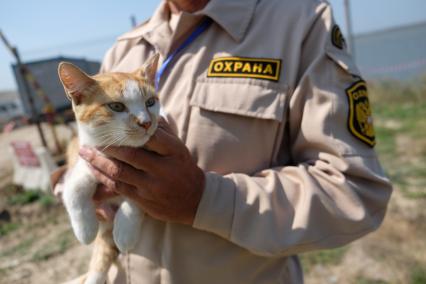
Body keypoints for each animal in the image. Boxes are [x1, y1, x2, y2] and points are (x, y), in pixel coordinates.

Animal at [58, 55, 160, 284]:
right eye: (116, 106)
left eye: (150, 102)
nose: (146, 122)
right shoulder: (89, 158)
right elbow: (74, 187)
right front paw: (84, 228)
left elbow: (140, 194)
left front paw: (125, 230)